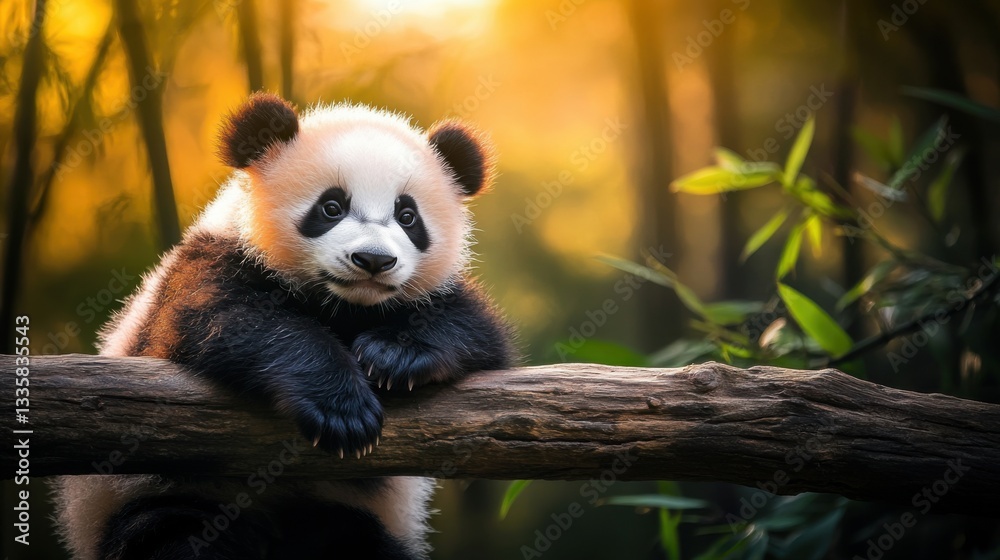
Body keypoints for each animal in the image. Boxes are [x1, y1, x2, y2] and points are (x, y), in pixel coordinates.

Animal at [53, 92, 515, 560]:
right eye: (331, 207)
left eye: (407, 216)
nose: (373, 260)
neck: (345, 305)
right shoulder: (208, 265)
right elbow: (228, 321)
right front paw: (343, 411)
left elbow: (479, 333)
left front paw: (393, 356)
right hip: (145, 500)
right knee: (175, 535)